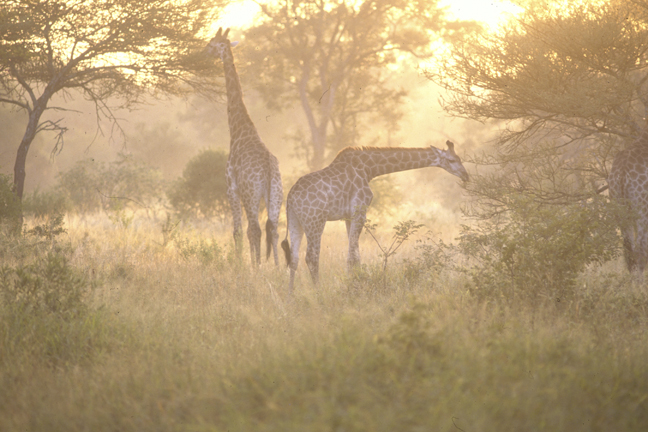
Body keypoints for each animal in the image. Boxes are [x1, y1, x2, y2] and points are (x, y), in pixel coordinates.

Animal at [206, 28, 283, 266]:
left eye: (211, 44)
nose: (203, 52)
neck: (239, 129)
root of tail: (268, 170)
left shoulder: (231, 188)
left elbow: (237, 231)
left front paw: (240, 266)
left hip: (251, 194)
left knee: (255, 229)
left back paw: (256, 268)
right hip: (276, 195)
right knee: (274, 229)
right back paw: (278, 268)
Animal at [281, 141, 470, 293]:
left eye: (460, 158)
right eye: (452, 160)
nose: (466, 176)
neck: (370, 168)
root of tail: (290, 198)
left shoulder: (348, 216)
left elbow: (355, 254)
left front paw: (355, 282)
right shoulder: (359, 211)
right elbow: (352, 255)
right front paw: (353, 286)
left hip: (296, 221)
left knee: (294, 258)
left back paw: (290, 295)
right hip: (315, 221)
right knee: (311, 257)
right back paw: (318, 292)